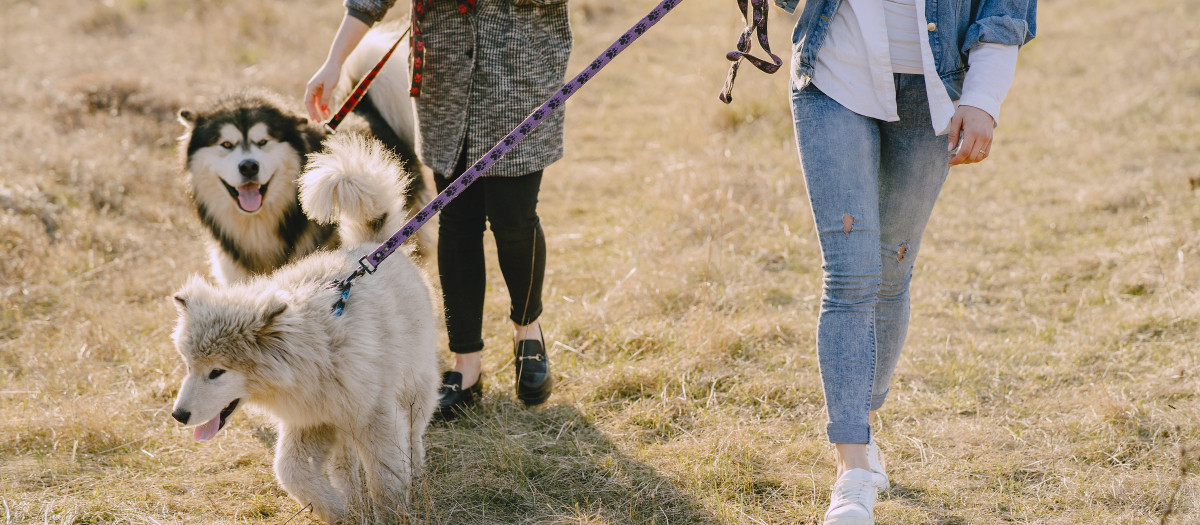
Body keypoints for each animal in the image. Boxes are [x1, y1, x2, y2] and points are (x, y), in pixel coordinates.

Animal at [166, 134, 434, 520]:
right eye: (189, 367)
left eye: (217, 372)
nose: (178, 415)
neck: (317, 350)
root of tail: (372, 247)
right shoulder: (312, 420)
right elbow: (289, 470)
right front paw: (338, 511)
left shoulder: (374, 415)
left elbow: (386, 476)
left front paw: (391, 514)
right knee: (344, 463)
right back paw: (350, 494)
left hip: (415, 387)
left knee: (412, 437)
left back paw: (417, 472)